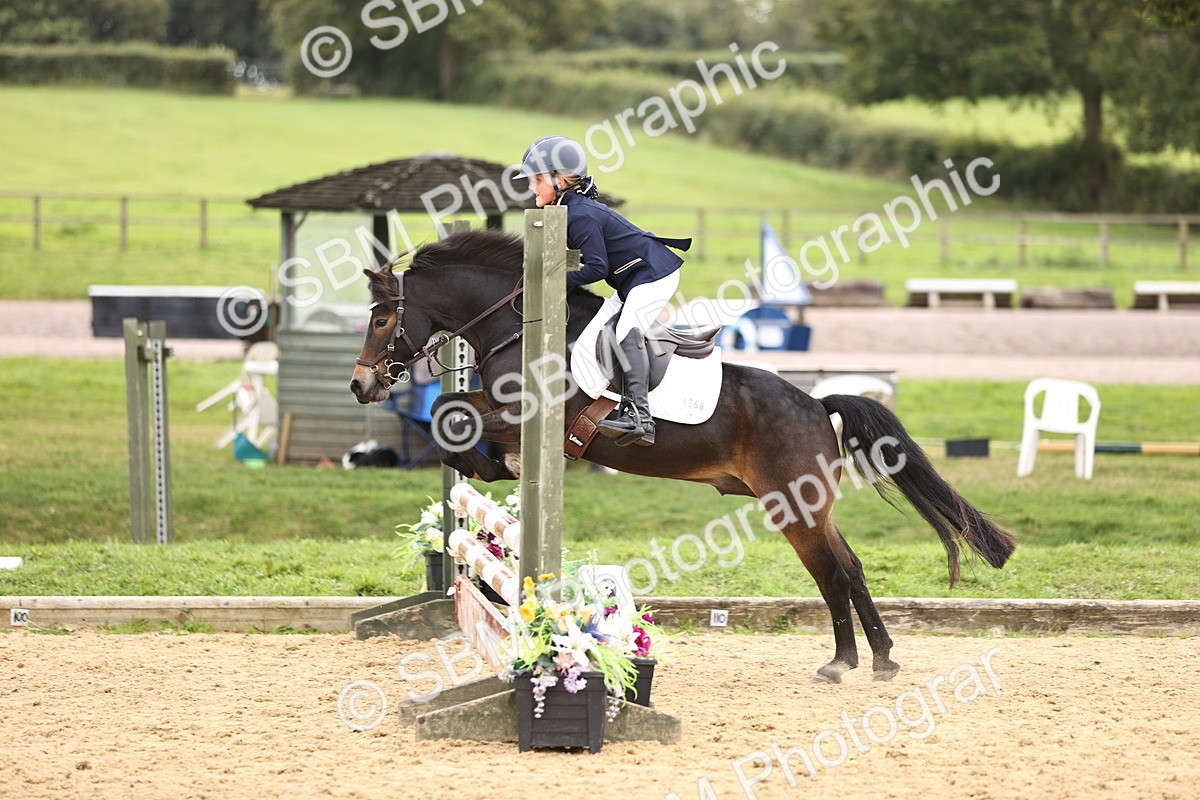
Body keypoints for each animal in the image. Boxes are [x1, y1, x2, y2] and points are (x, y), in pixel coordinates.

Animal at [349, 229, 1016, 684]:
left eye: (381, 318)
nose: (361, 386)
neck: (519, 326)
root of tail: (815, 402)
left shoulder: (528, 417)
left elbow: (449, 416)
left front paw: (495, 466)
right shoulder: (503, 410)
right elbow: (455, 412)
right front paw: (491, 468)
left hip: (792, 506)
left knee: (833, 573)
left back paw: (847, 663)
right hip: (806, 506)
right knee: (848, 569)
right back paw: (873, 659)